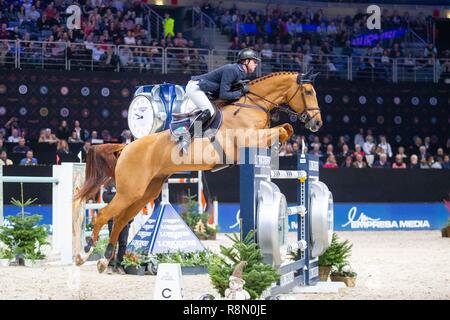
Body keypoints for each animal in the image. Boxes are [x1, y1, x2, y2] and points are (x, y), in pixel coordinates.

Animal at [74, 70, 320, 272]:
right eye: (308, 92)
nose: (316, 123)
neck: (252, 105)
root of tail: (126, 147)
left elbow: (286, 129)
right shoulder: (248, 139)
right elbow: (283, 129)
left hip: (145, 192)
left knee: (120, 220)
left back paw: (104, 260)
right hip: (129, 191)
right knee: (105, 215)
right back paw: (84, 254)